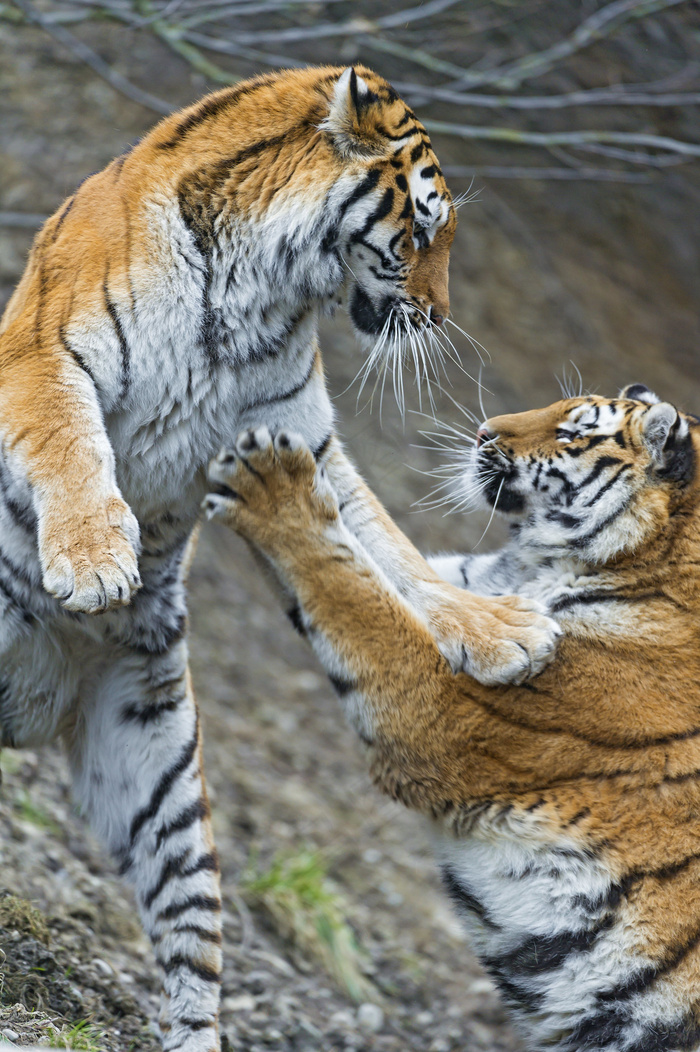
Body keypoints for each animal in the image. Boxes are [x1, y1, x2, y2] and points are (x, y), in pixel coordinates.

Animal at [0, 67, 560, 1052]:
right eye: (423, 231)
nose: (443, 315)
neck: (256, 280)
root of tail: (34, 698)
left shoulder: (299, 434)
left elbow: (389, 548)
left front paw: (500, 632)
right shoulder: (44, 354)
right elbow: (71, 446)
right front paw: (97, 564)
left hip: (165, 791)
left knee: (192, 954)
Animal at [205, 389, 698, 1052]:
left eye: (572, 433)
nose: (485, 431)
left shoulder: (440, 712)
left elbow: (356, 594)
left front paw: (275, 487)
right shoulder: (459, 585)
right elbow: (378, 565)